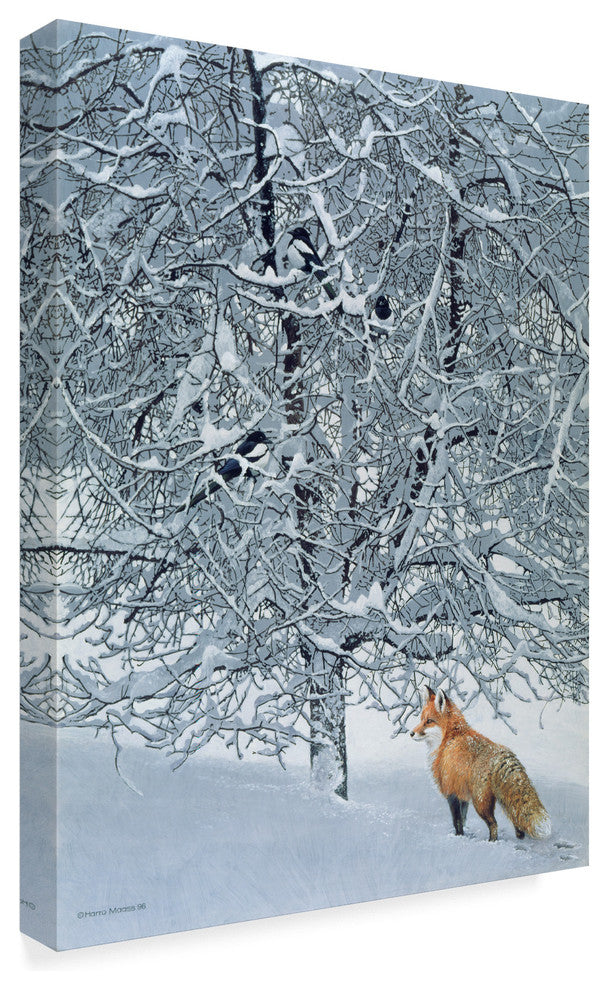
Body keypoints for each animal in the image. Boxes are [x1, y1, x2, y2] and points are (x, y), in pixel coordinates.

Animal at [410, 685, 551, 842]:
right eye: (421, 720)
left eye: (429, 721)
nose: (411, 733)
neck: (449, 739)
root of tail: (498, 752)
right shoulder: (462, 794)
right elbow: (463, 819)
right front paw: (464, 836)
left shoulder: (451, 791)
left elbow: (457, 821)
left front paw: (458, 837)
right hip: (501, 799)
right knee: (515, 817)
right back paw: (520, 838)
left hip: (480, 802)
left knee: (494, 824)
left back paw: (492, 842)